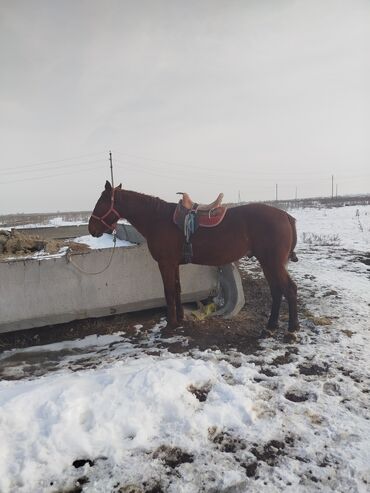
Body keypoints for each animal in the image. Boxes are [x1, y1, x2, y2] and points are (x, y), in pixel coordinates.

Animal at [89, 181, 300, 334]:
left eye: (100, 203)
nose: (92, 229)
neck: (157, 219)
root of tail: (286, 216)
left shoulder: (165, 264)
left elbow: (169, 292)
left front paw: (170, 326)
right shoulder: (173, 264)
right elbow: (177, 289)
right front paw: (180, 320)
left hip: (272, 263)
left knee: (289, 289)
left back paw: (292, 329)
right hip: (268, 263)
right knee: (277, 291)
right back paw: (271, 326)